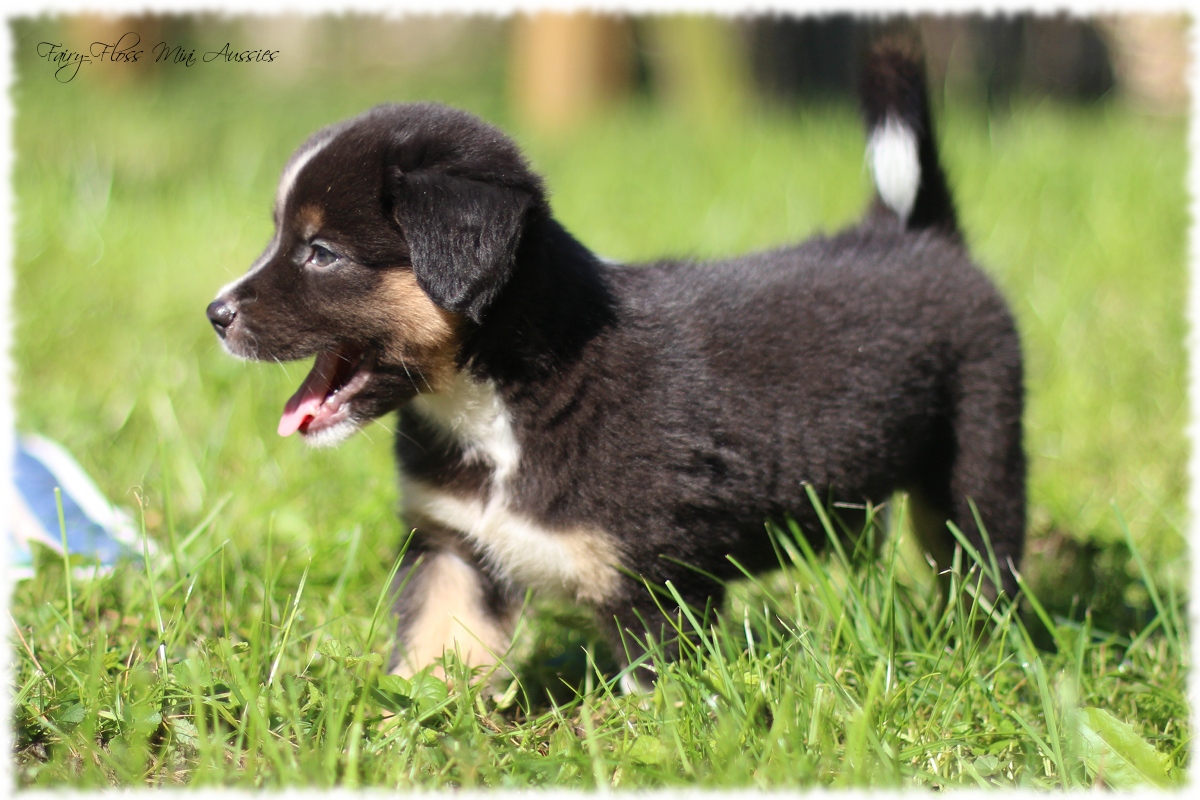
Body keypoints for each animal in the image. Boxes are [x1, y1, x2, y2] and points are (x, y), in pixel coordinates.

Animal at [206, 40, 1022, 686]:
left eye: (321, 253)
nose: (214, 314)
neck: (497, 404)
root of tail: (916, 233)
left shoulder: (656, 584)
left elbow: (654, 697)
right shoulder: (453, 548)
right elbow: (434, 653)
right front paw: (405, 733)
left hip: (977, 464)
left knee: (982, 568)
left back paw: (984, 653)